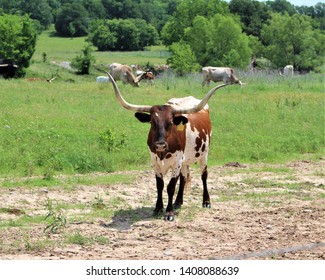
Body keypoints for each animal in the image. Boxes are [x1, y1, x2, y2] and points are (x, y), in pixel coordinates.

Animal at [107, 73, 228, 222]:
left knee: (203, 175)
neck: (163, 153)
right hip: (185, 160)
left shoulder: (176, 162)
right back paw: (178, 202)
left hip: (204, 154)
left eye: (170, 123)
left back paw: (206, 201)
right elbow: (160, 185)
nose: (160, 144)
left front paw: (169, 213)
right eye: (152, 122)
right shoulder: (155, 161)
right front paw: (158, 208)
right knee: (184, 176)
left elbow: (171, 186)